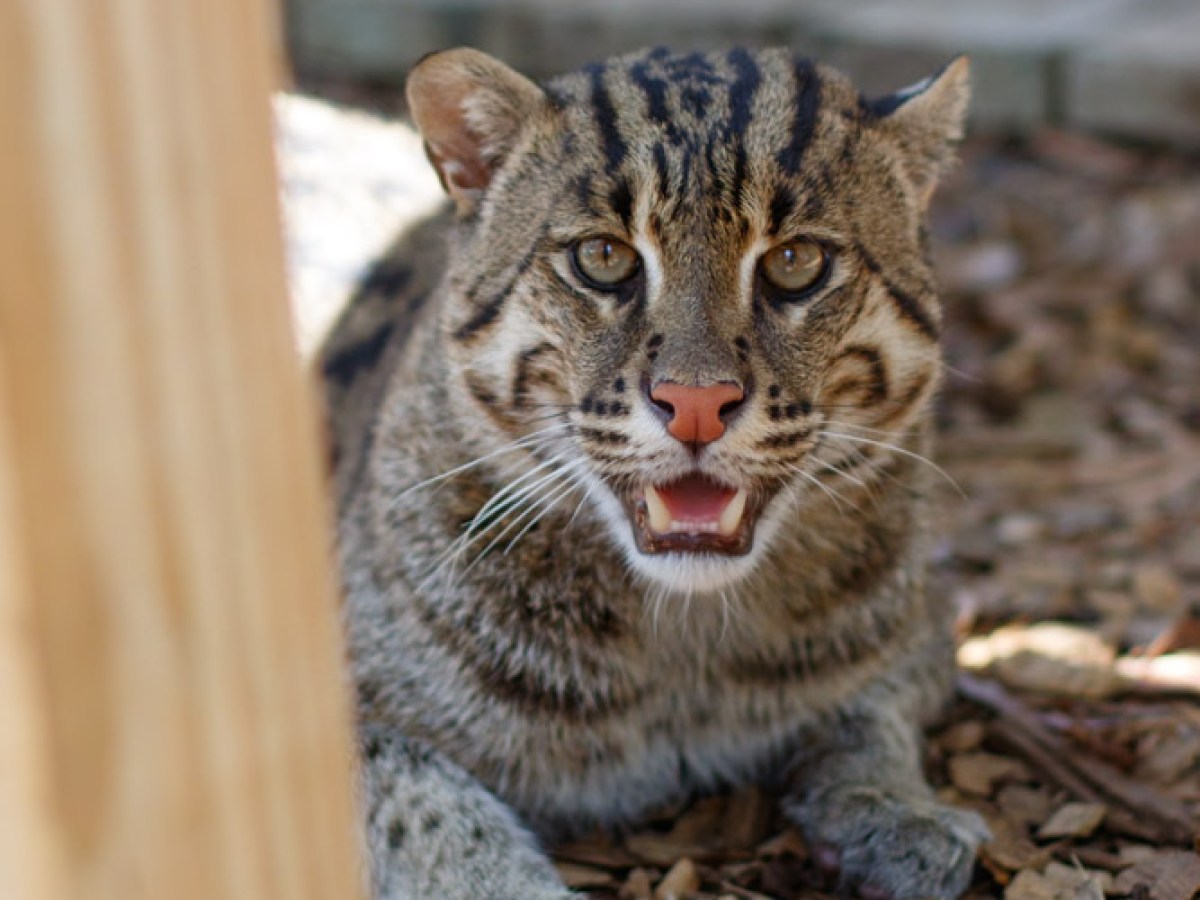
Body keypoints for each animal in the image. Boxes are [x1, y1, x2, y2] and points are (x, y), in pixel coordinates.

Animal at [319, 45, 984, 900]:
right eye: (602, 258)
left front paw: (896, 802)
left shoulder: (925, 632)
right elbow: (429, 803)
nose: (696, 402)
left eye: (797, 261)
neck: (684, 636)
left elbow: (874, 709)